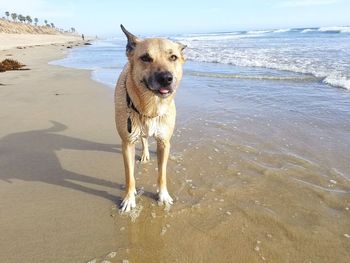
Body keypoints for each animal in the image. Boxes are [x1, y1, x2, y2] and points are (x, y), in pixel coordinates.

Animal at [115, 25, 186, 212]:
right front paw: (129, 199)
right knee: (144, 139)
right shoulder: (127, 143)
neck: (150, 107)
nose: (166, 78)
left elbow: (162, 174)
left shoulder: (164, 143)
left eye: (173, 57)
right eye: (145, 58)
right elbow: (129, 176)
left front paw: (163, 196)